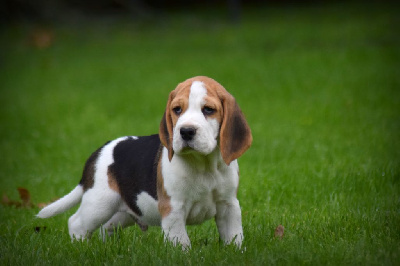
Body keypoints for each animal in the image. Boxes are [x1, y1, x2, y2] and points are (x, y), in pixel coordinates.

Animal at [36, 76, 250, 248]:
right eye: (177, 110)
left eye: (208, 110)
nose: (186, 131)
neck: (204, 165)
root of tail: (99, 151)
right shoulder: (173, 210)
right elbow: (181, 242)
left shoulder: (229, 206)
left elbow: (234, 237)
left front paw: (235, 253)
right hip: (100, 202)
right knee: (76, 223)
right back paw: (82, 248)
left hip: (126, 210)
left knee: (106, 227)